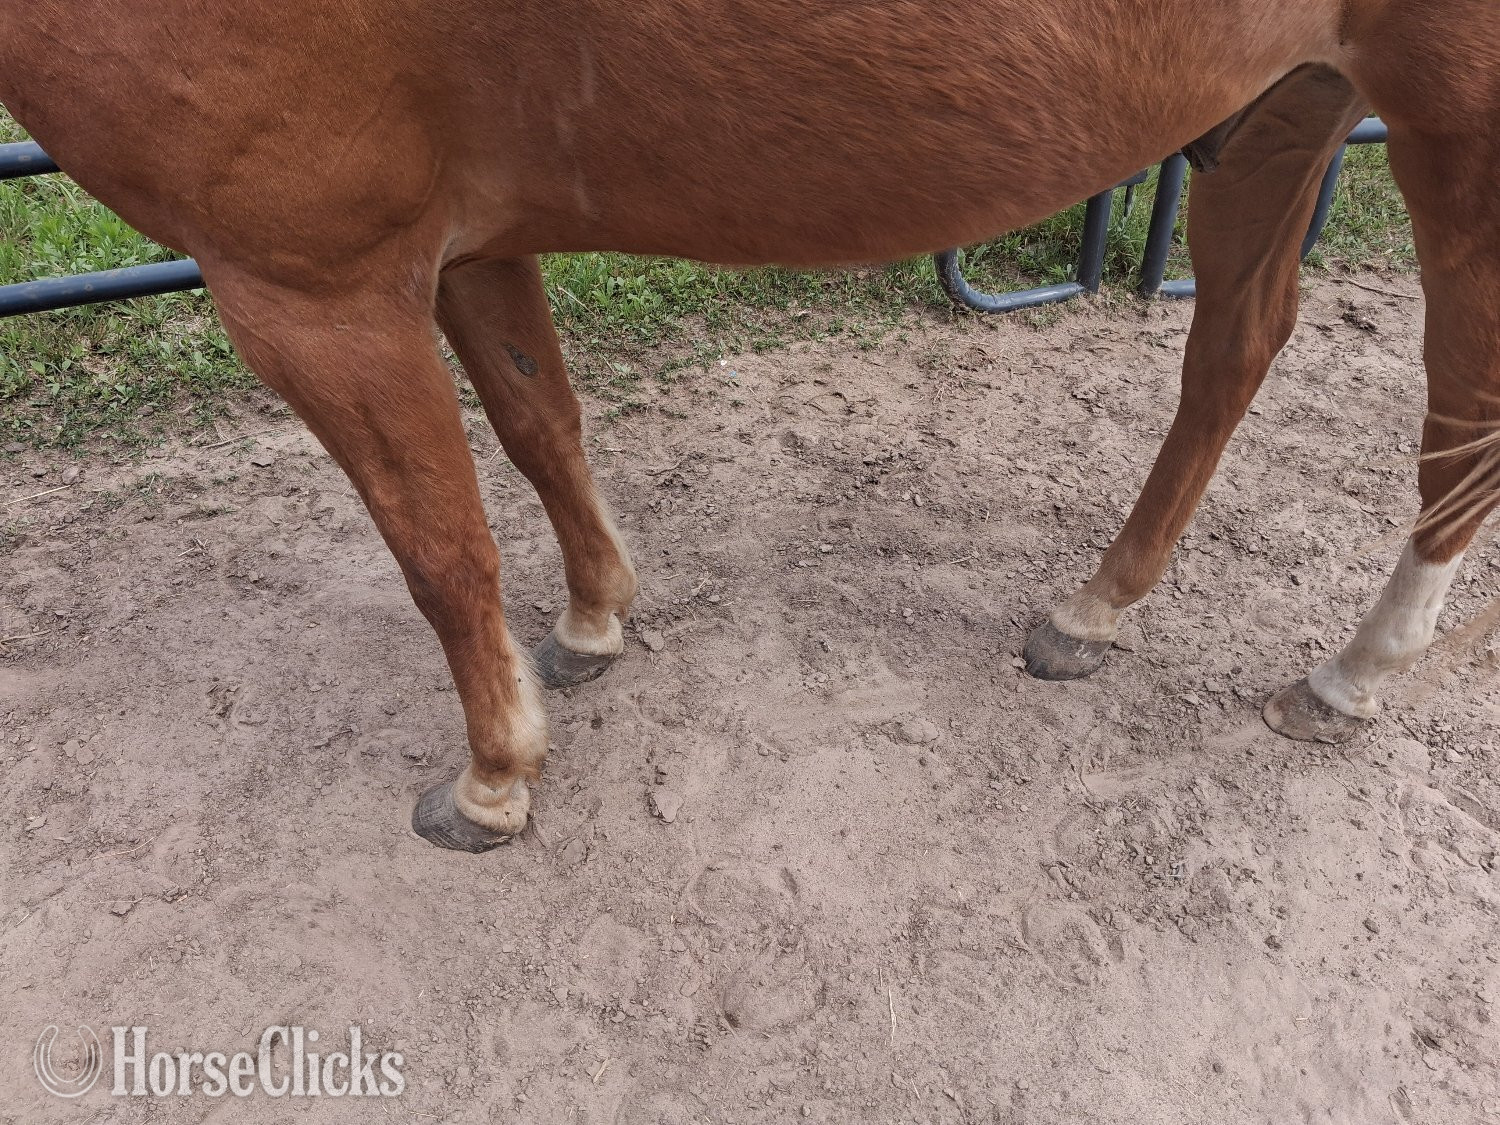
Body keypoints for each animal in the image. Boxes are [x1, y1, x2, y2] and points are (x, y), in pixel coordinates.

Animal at [2, 0, 1495, 851]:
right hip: (1287, 103)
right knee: (1234, 349)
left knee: (1460, 417)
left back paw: (1356, 671)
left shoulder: (313, 287)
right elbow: (540, 428)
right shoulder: (465, 243)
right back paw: (1095, 608)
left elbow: (442, 554)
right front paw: (593, 621)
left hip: (1451, 126)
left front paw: (493, 777)